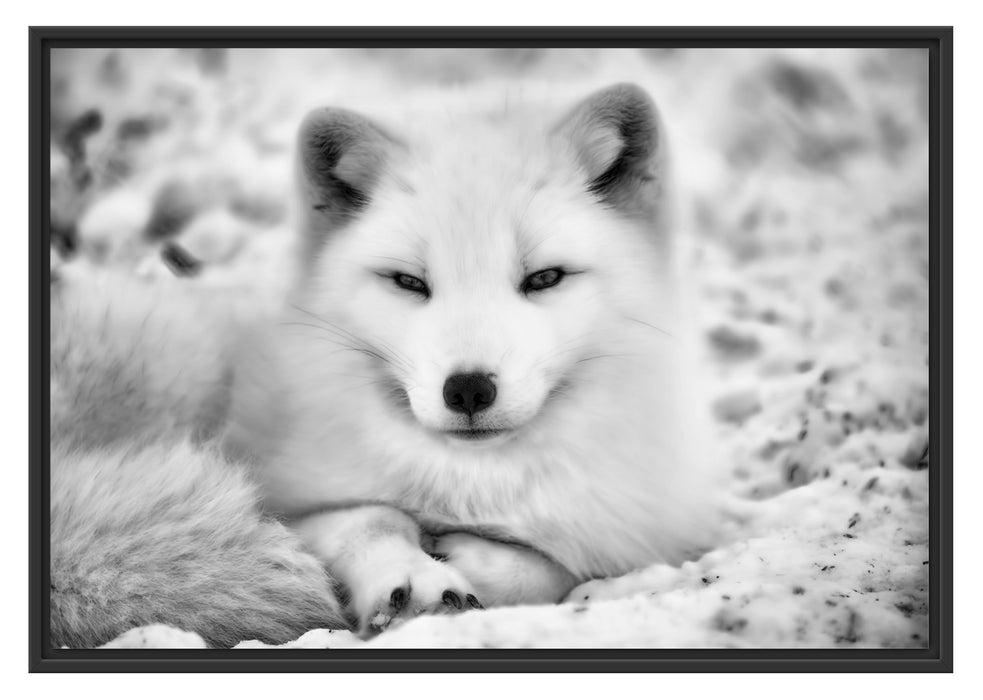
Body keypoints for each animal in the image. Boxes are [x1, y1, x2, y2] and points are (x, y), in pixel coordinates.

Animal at [49, 82, 726, 646]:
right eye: (408, 282)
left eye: (544, 278)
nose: (469, 390)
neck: (471, 484)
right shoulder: (288, 502)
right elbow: (370, 517)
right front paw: (413, 576)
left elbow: (553, 567)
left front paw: (475, 563)